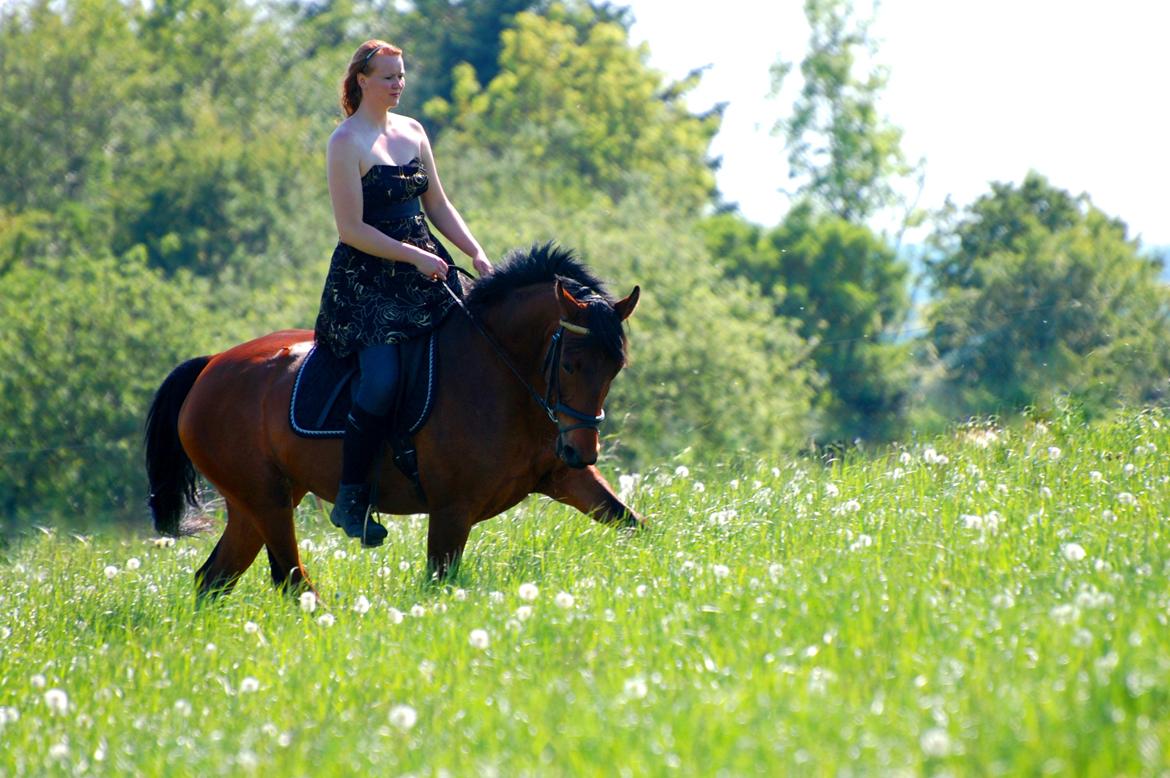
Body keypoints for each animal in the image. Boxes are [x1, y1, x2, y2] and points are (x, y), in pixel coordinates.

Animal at [143, 245, 650, 596]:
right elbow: (439, 580)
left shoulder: (564, 478)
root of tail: (210, 366)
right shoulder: (451, 509)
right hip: (266, 499)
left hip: (255, 503)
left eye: (615, 367)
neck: (502, 372)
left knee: (213, 579)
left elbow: (634, 524)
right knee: (290, 578)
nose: (581, 451)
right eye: (570, 365)